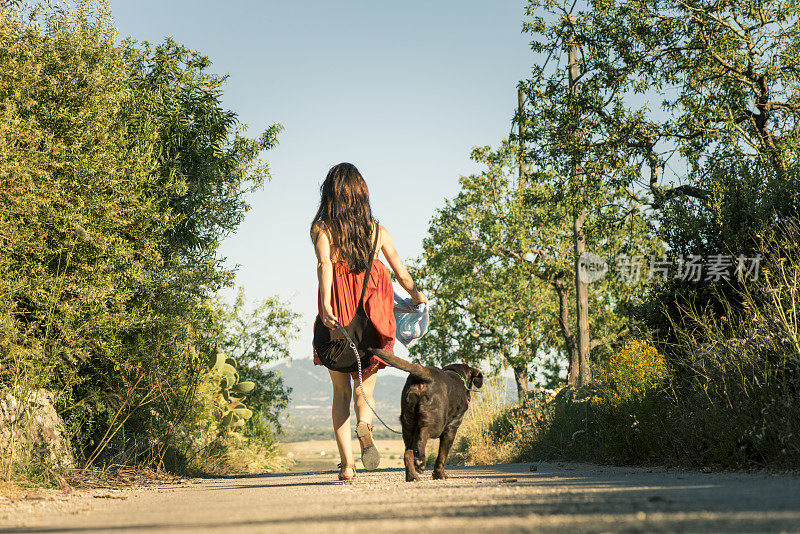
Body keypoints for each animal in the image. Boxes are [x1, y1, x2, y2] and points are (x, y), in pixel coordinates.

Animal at [368, 350, 482, 484]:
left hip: (408, 425)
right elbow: (442, 455)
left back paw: (412, 476)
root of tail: (425, 374)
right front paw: (440, 474)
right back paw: (420, 462)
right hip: (436, 424)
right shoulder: (451, 429)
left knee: (408, 453)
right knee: (422, 438)